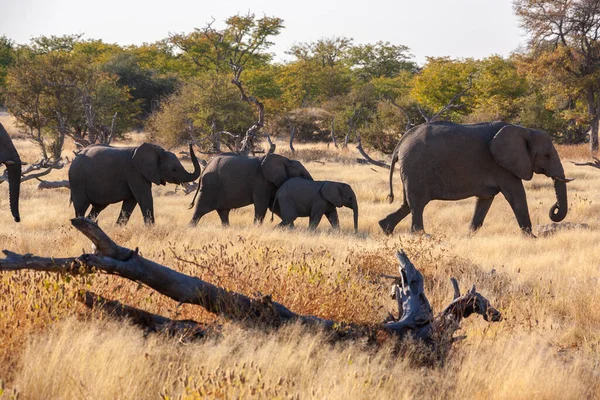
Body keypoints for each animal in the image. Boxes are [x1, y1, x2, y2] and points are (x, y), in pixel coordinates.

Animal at [69, 143, 202, 225]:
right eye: (174, 169)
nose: (190, 144)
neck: (157, 151)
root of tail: (76, 157)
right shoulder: (135, 172)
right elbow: (144, 198)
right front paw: (151, 230)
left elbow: (130, 202)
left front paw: (118, 228)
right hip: (77, 181)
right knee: (81, 207)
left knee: (97, 208)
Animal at [380, 121, 572, 234]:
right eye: (546, 155)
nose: (554, 207)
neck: (525, 130)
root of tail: (401, 142)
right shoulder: (501, 166)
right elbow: (517, 196)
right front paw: (530, 238)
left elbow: (485, 200)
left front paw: (470, 235)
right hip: (416, 167)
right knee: (418, 204)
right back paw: (421, 235)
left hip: (411, 171)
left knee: (408, 203)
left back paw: (385, 228)